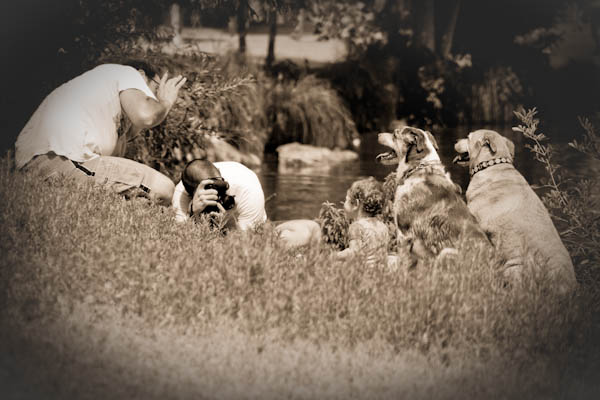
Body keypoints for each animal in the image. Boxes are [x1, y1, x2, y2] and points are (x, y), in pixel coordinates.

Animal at [377, 126, 491, 265]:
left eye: (394, 134)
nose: (378, 134)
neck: (417, 168)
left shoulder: (404, 232)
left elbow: (403, 262)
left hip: (445, 253)